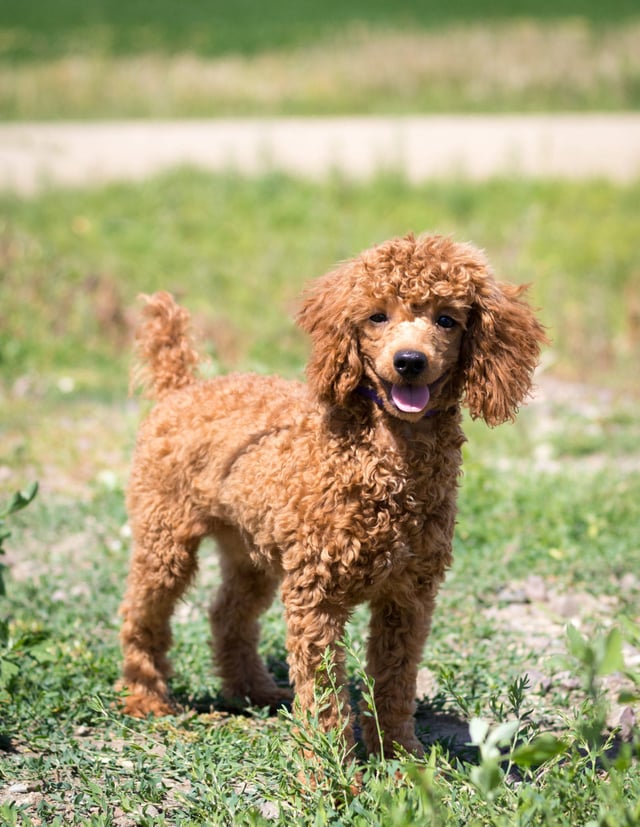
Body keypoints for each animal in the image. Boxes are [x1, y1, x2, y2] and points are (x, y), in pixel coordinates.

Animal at [119, 231, 544, 756]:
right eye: (376, 316)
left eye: (446, 318)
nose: (409, 362)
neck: (388, 464)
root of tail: (181, 387)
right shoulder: (316, 593)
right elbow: (323, 694)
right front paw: (327, 768)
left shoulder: (409, 596)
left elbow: (396, 681)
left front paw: (399, 754)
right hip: (166, 540)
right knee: (141, 615)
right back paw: (145, 696)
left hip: (251, 549)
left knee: (227, 614)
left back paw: (252, 691)